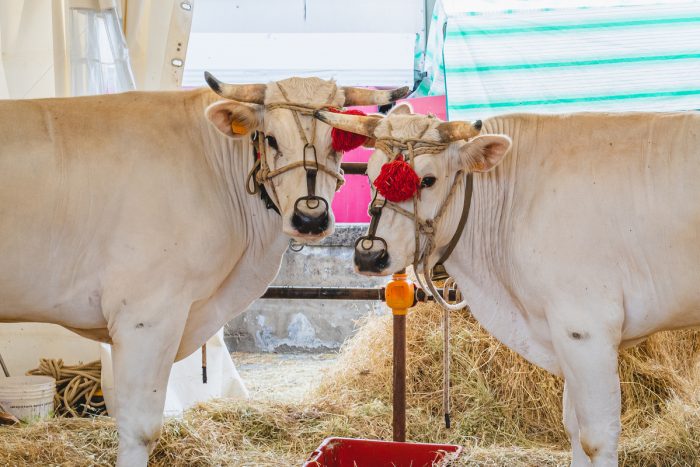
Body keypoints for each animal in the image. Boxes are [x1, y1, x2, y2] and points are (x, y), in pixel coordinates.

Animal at [316, 106, 700, 467]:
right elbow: (573, 428)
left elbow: (596, 438)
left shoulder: (585, 329)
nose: (370, 254)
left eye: (427, 180)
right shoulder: (563, 337)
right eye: (369, 175)